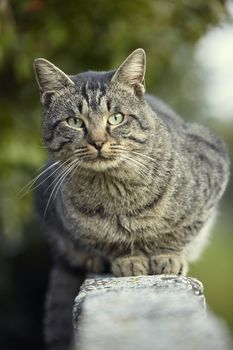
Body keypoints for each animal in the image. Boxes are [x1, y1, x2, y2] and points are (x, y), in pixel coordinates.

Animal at [32, 49, 229, 350]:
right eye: (74, 121)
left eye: (116, 118)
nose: (97, 141)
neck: (116, 191)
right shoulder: (77, 222)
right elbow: (108, 241)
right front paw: (127, 258)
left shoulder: (213, 172)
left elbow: (180, 232)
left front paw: (167, 255)